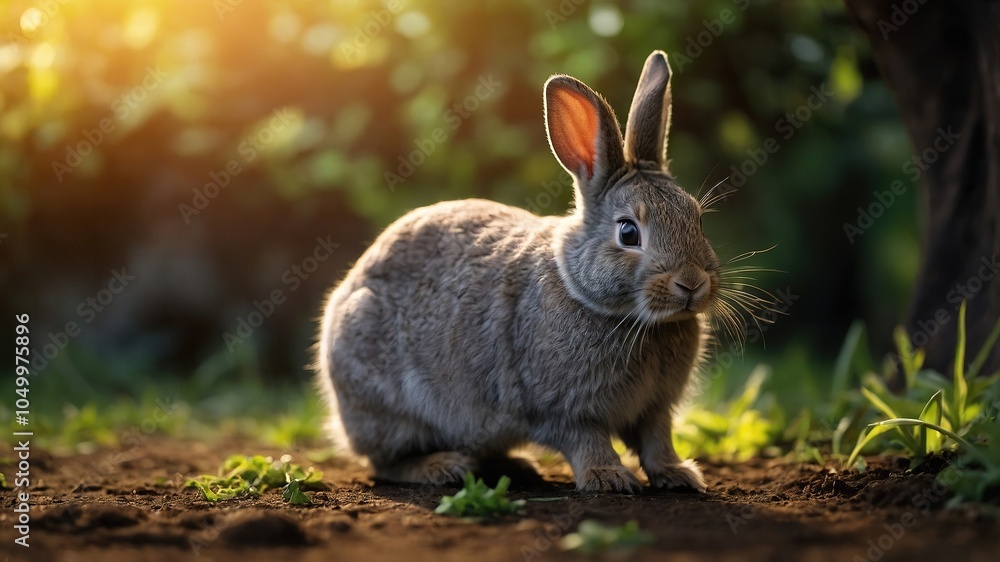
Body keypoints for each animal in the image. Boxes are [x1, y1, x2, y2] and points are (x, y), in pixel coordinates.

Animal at [316, 51, 721, 493]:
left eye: (698, 220)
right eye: (628, 232)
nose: (692, 283)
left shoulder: (655, 408)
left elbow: (657, 440)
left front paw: (678, 474)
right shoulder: (561, 409)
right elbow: (587, 440)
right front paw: (609, 477)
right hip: (387, 403)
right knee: (383, 461)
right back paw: (442, 467)